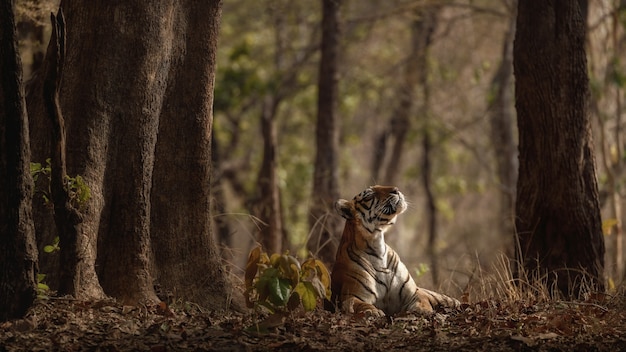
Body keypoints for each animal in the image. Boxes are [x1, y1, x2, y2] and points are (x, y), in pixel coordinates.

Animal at [332, 186, 458, 318]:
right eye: (369, 196)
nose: (396, 190)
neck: (377, 246)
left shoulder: (413, 293)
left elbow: (422, 301)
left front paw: (422, 311)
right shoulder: (351, 295)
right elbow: (359, 304)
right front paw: (373, 311)